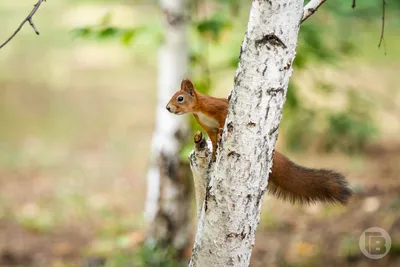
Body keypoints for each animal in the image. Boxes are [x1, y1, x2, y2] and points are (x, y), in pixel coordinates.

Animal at [164, 78, 352, 204]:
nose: (168, 108)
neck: (199, 109)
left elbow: (224, 120)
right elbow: (213, 139)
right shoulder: (208, 128)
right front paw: (214, 154)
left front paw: (222, 135)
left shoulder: (218, 108)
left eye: (180, 98)